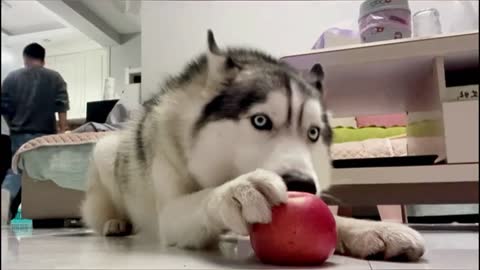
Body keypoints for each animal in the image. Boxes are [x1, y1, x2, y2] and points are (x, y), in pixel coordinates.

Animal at [81, 30, 424, 260]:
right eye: (260, 121)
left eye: (313, 133)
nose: (302, 185)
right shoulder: (169, 212)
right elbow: (203, 197)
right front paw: (237, 190)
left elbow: (332, 216)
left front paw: (368, 229)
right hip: (105, 151)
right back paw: (116, 222)